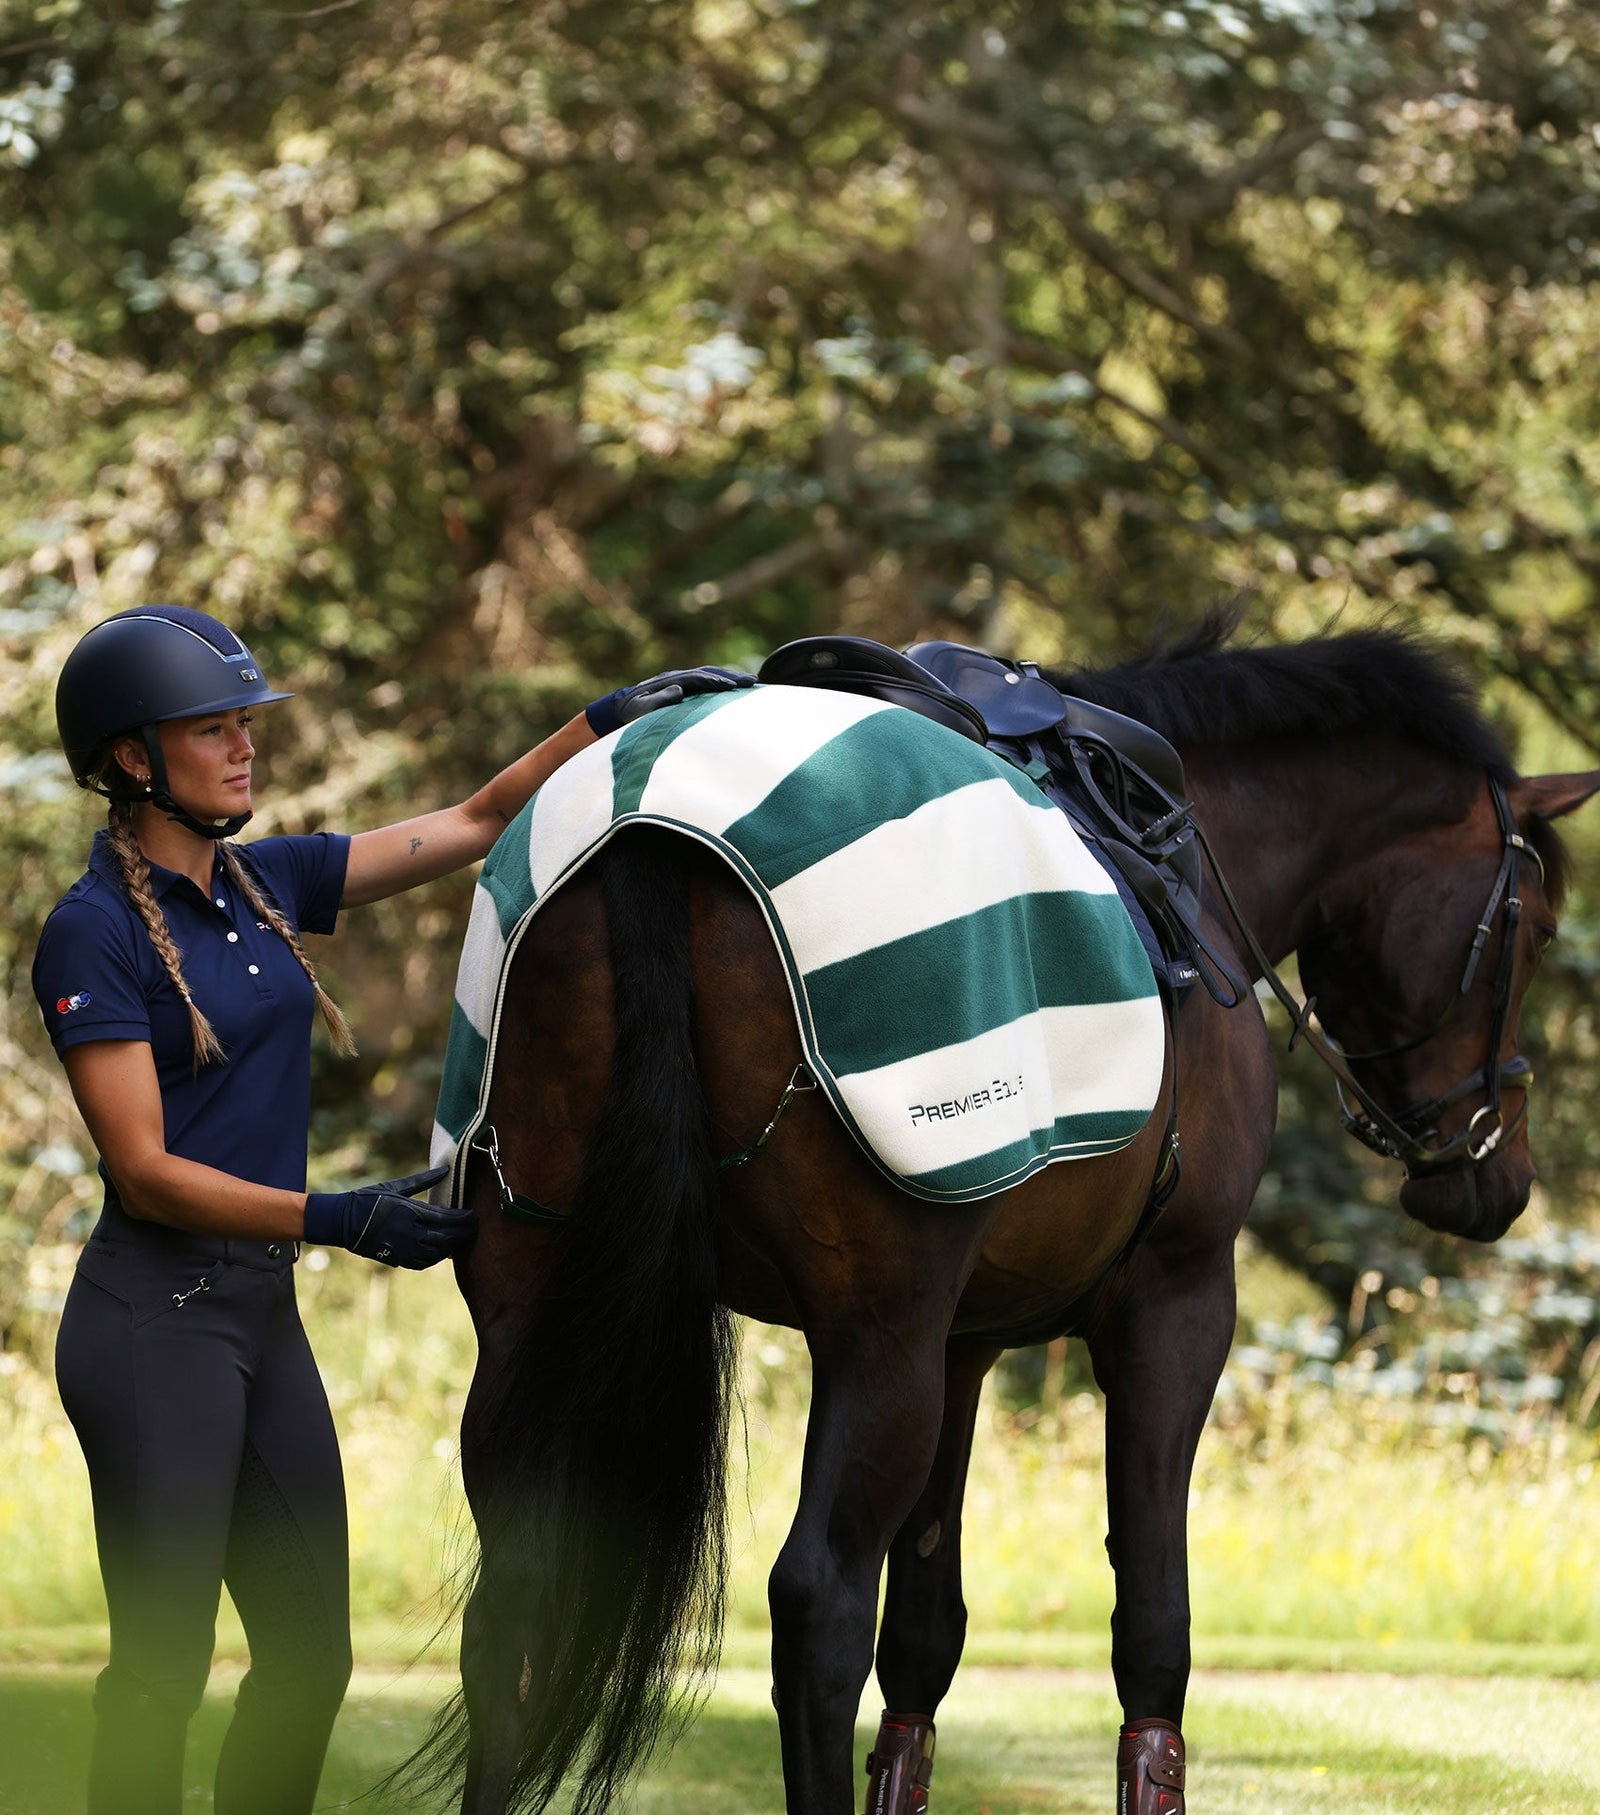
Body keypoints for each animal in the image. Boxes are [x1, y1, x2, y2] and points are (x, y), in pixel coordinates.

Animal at [412, 623, 1598, 1815]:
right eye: (1537, 928)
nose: (1493, 1169)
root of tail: (652, 829)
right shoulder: (1173, 1307)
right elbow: (1152, 1626)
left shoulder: (966, 1343)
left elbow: (924, 1641)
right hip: (876, 1338)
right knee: (818, 1601)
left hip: (534, 1306)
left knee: (513, 1594)